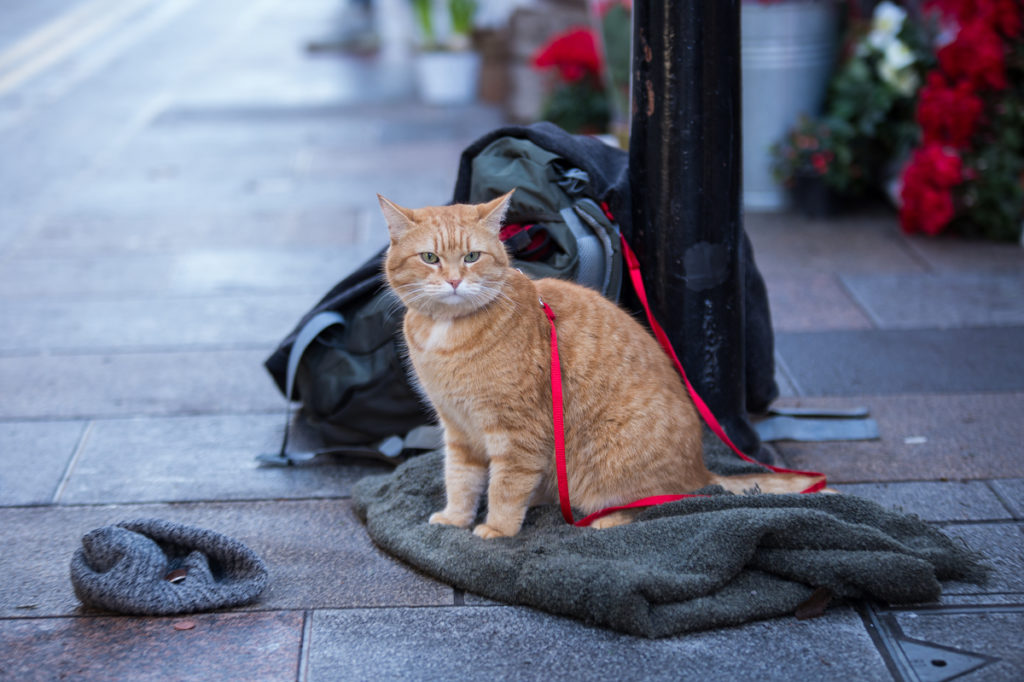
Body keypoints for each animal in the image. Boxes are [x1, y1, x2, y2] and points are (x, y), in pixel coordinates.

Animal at [380, 189, 819, 536]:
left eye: (472, 256)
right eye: (430, 257)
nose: (454, 281)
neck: (446, 332)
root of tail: (700, 470)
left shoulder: (518, 433)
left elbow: (505, 486)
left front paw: (498, 530)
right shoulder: (459, 429)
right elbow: (460, 480)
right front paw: (456, 518)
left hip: (609, 465)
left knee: (651, 505)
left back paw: (600, 520)